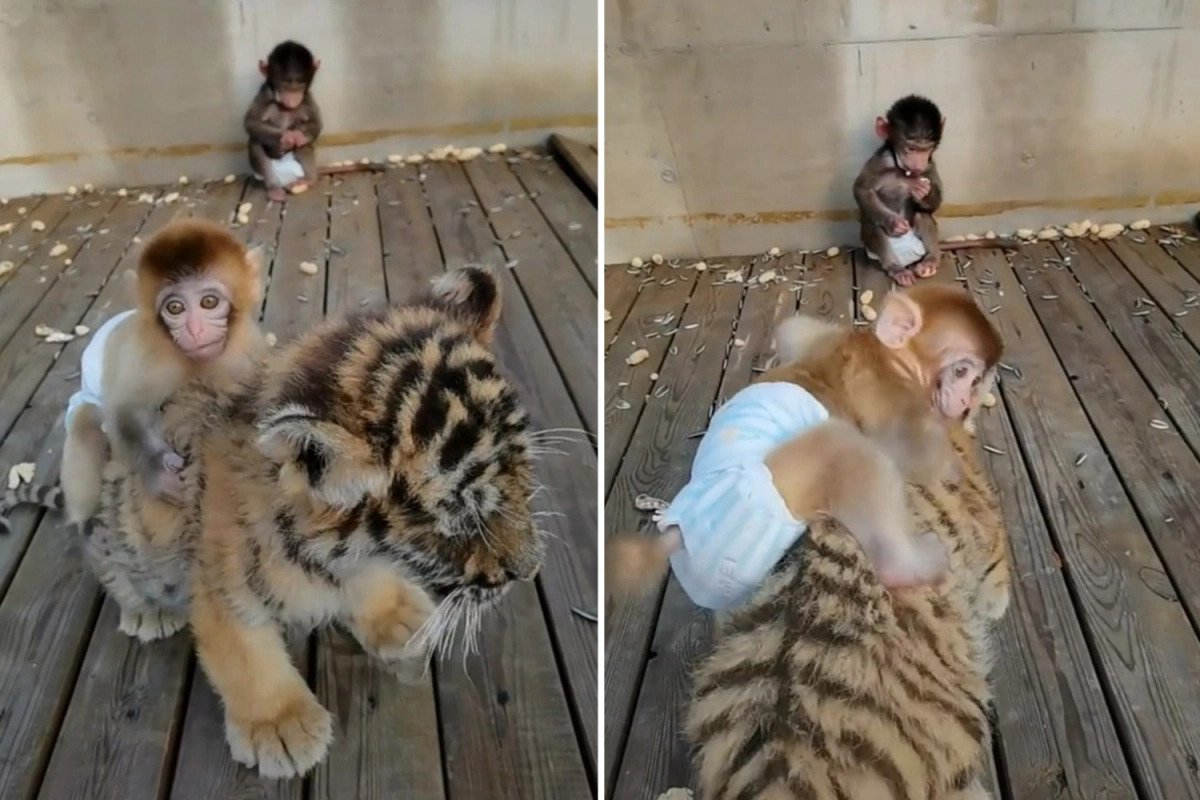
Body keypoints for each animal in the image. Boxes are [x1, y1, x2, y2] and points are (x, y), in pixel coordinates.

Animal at [244, 40, 324, 203]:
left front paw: (297, 136)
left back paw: (310, 179)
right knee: (255, 142)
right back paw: (273, 188)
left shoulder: (307, 97)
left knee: (304, 144)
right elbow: (251, 122)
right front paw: (285, 137)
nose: (293, 98)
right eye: (284, 86)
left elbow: (316, 123)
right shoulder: (265, 93)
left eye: (299, 86)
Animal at [854, 94, 945, 287]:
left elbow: (935, 202)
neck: (902, 169)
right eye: (911, 148)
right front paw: (893, 222)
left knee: (921, 215)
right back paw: (896, 268)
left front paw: (924, 193)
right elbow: (861, 189)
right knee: (873, 226)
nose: (918, 165)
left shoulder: (929, 165)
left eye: (926, 149)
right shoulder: (879, 162)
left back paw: (931, 260)